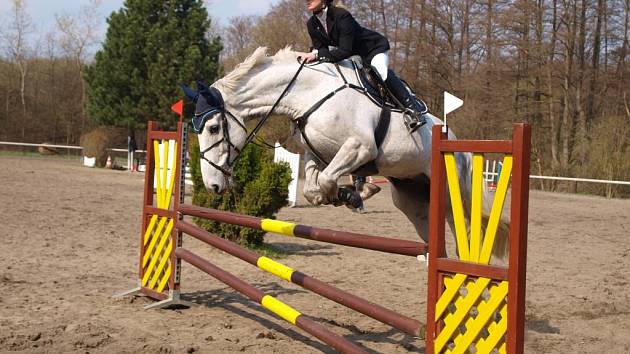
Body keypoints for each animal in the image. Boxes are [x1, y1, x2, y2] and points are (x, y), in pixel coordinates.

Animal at [185, 47, 512, 258]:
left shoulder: (359, 147)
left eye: (213, 128)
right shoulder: (317, 154)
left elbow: (329, 179)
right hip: (412, 199)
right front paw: (347, 195)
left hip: (449, 194)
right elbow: (314, 187)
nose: (213, 185)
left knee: (464, 234)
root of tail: (457, 144)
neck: (307, 94)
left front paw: (352, 196)